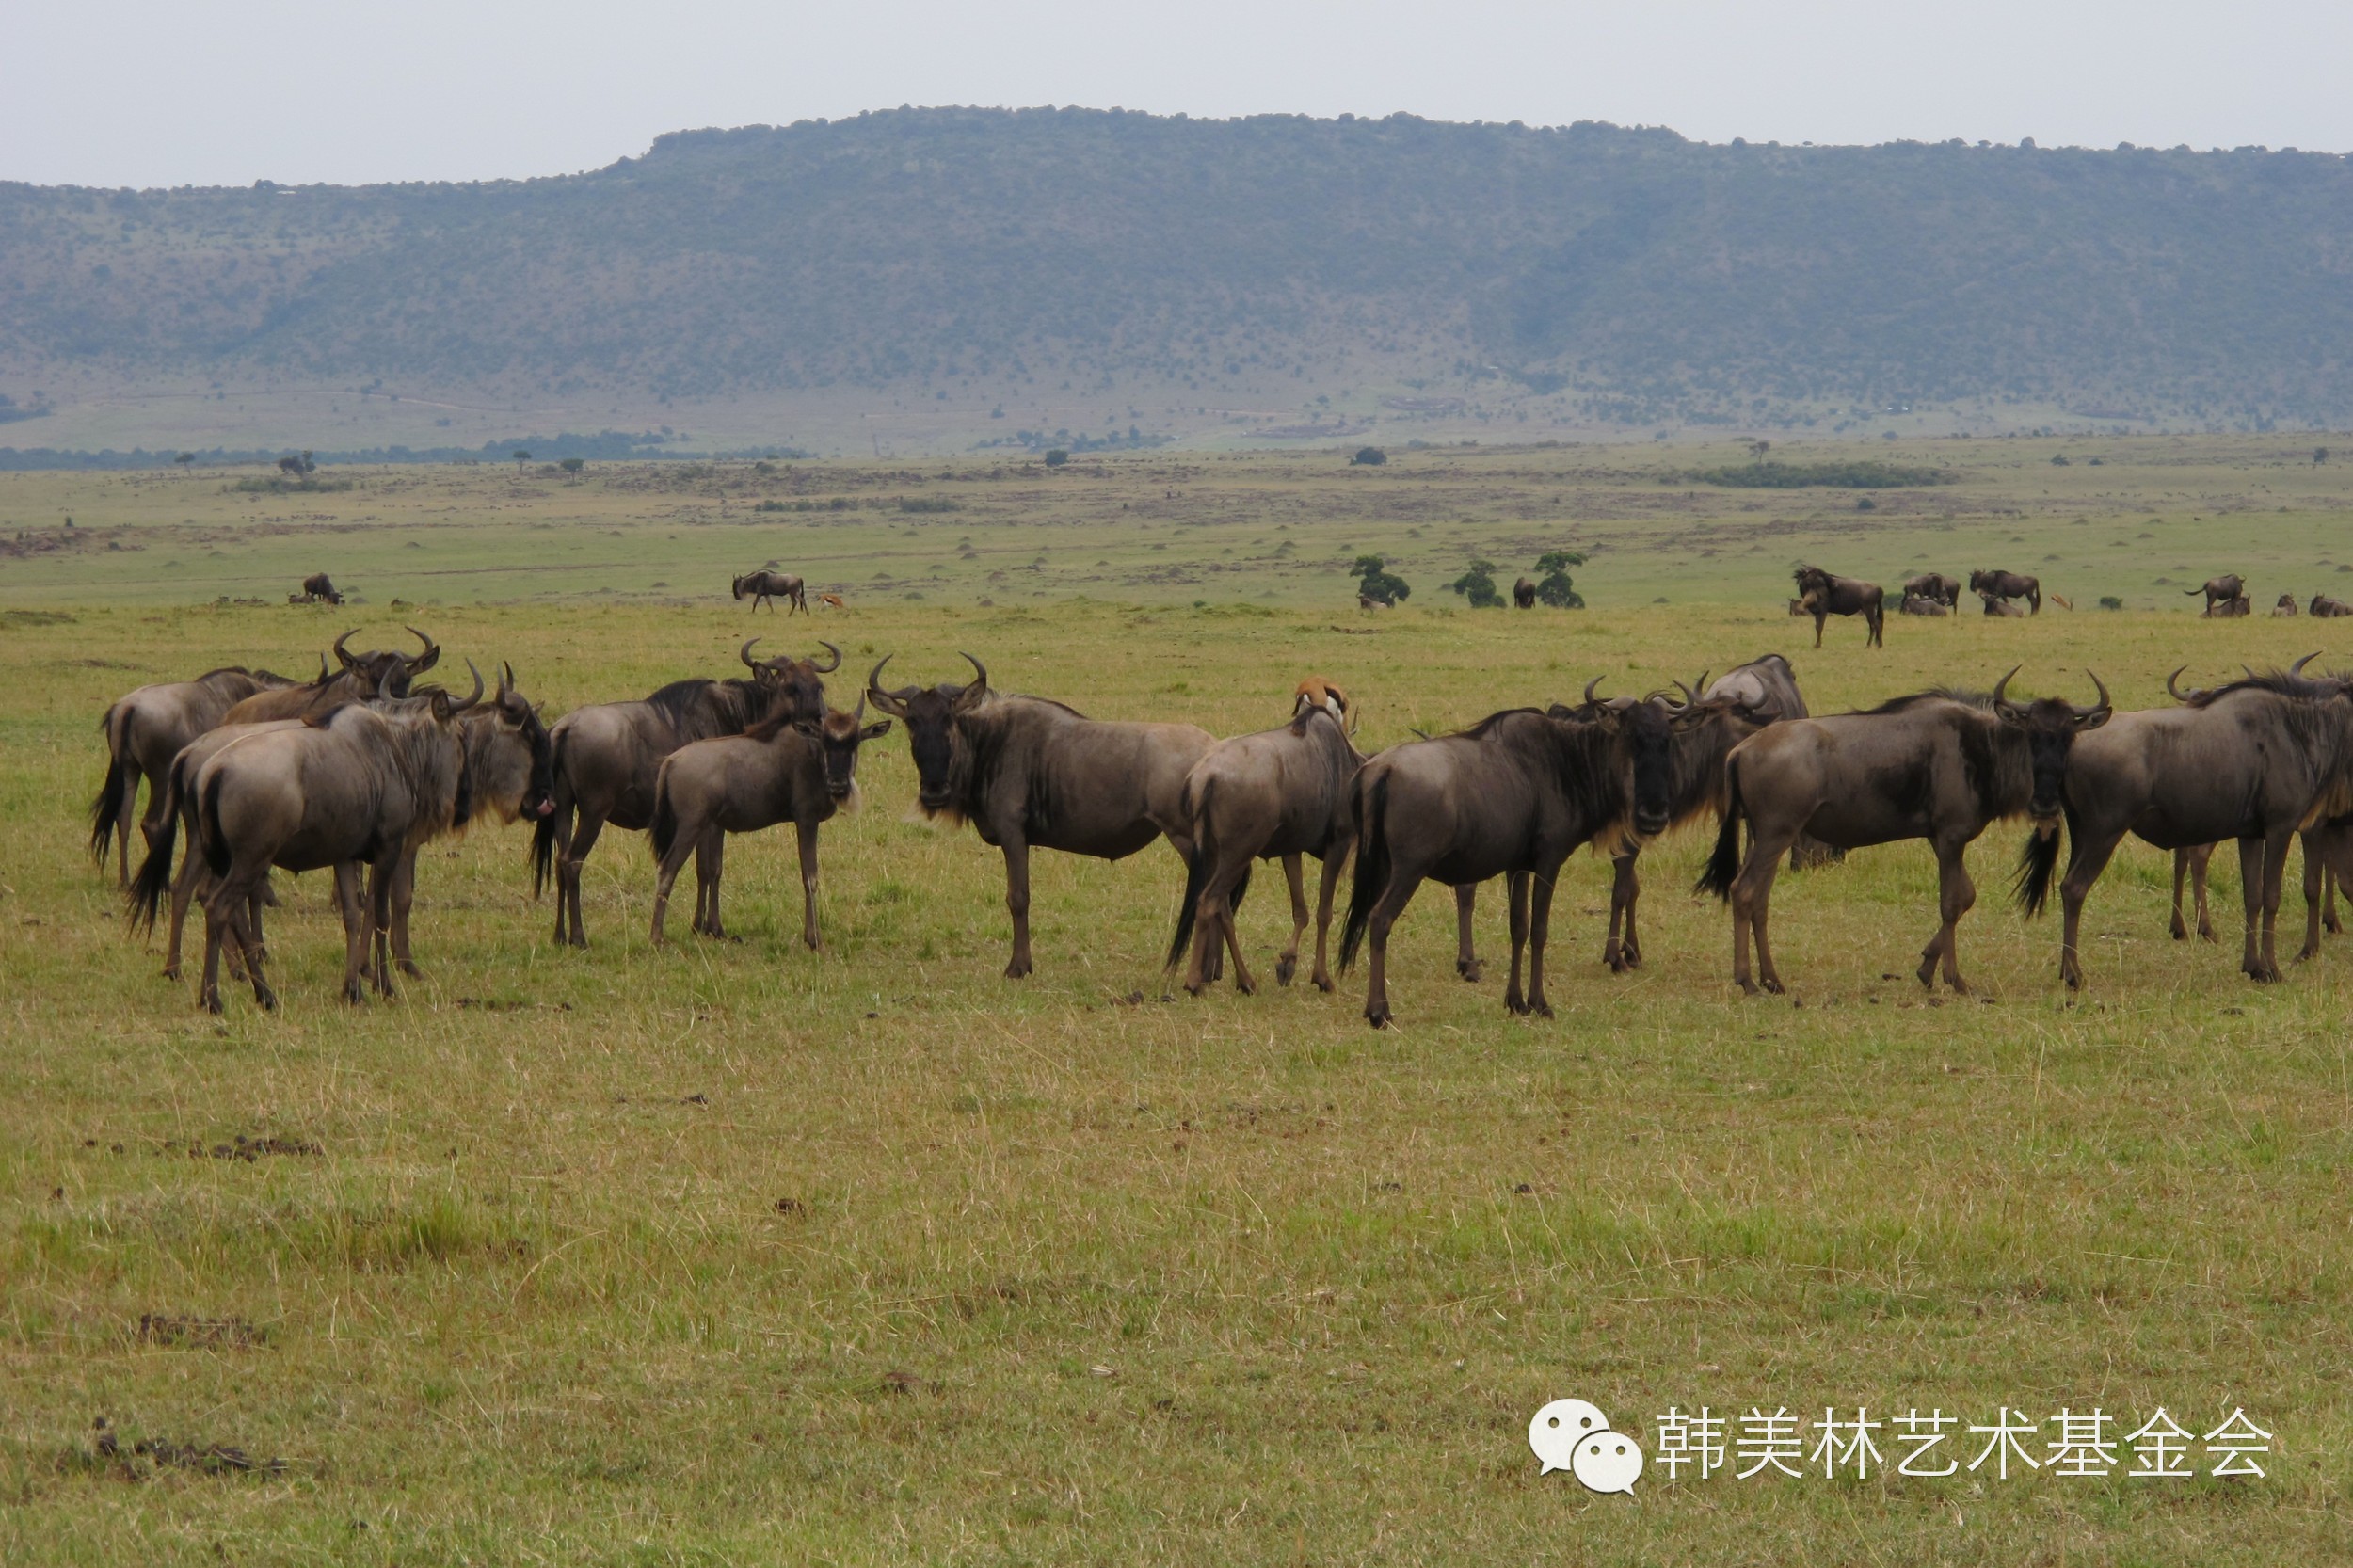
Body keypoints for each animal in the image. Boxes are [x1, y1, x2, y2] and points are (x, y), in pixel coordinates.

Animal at [649, 701, 885, 946]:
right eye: (825, 741)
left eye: (854, 741)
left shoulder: (716, 826)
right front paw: (814, 940)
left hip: (701, 826)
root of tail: (670, 761)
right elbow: (810, 877)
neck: (812, 756)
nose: (838, 784)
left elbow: (712, 869)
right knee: (667, 870)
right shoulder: (806, 820)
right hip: (690, 827)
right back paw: (657, 937)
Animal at [1694, 668, 2118, 988]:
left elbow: (1966, 896)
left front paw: (1927, 967)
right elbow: (1951, 902)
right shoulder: (1950, 837)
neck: (1982, 746)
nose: (2046, 802)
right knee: (1745, 891)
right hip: (1776, 836)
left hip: (1762, 838)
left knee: (1758, 898)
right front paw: (1954, 979)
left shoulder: (1940, 838)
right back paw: (1748, 980)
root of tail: (1742, 750)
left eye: (2068, 737)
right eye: (2032, 734)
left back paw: (1770, 979)